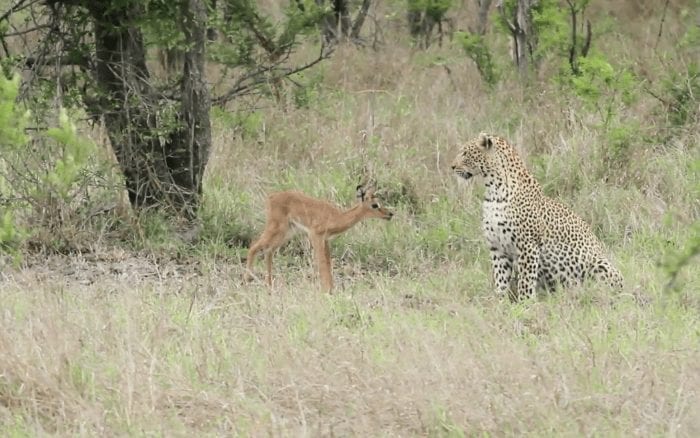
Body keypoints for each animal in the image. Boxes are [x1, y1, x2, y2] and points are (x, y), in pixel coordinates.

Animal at [451, 132, 623, 300]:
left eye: (465, 153)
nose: (452, 166)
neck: (493, 191)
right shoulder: (496, 247)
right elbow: (500, 279)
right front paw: (499, 301)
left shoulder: (527, 245)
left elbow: (526, 280)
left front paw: (525, 304)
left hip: (600, 264)